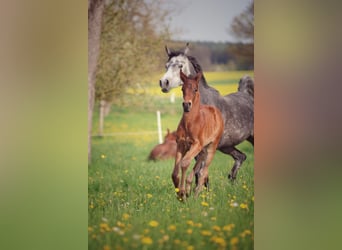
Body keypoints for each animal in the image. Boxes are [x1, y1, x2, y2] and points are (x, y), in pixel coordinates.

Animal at [159, 43, 252, 180]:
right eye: (166, 66)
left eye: (180, 65)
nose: (164, 83)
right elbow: (198, 174)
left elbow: (201, 173)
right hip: (227, 146)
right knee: (241, 157)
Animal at [171, 70, 224, 201]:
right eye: (182, 89)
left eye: (195, 89)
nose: (186, 105)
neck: (190, 122)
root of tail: (216, 111)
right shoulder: (181, 144)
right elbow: (175, 172)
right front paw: (180, 194)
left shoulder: (196, 144)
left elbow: (184, 163)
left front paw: (182, 194)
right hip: (202, 149)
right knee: (198, 168)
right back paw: (190, 191)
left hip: (211, 147)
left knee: (203, 172)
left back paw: (195, 196)